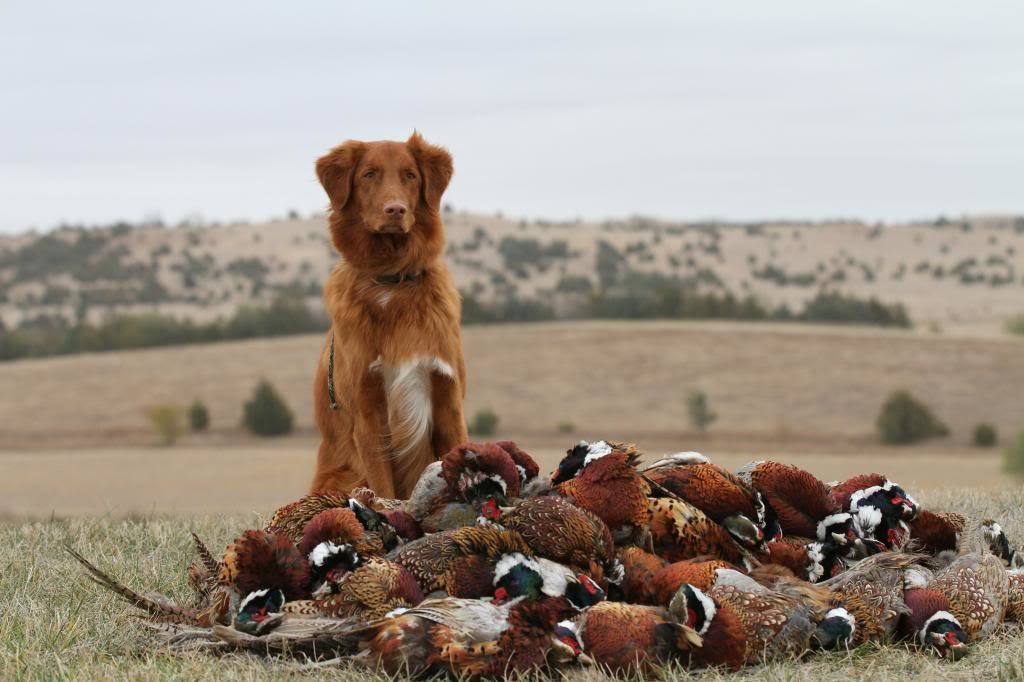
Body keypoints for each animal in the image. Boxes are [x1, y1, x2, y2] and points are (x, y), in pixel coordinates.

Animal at [307, 133, 468, 497]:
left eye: (410, 175)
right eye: (369, 175)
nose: (395, 210)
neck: (393, 280)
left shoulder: (449, 401)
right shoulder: (368, 414)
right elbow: (383, 491)